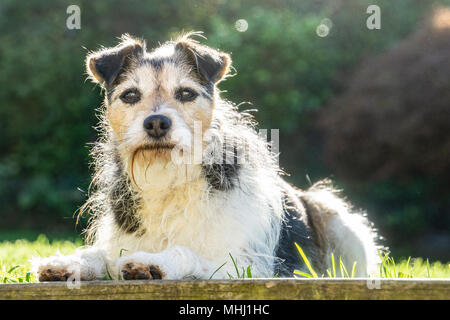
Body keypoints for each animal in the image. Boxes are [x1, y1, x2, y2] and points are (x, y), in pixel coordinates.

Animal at [31, 32, 382, 282]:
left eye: (186, 93)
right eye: (130, 95)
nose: (156, 122)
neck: (168, 178)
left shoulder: (244, 265)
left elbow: (185, 252)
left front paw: (153, 262)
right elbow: (99, 254)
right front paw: (68, 262)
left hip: (333, 213)